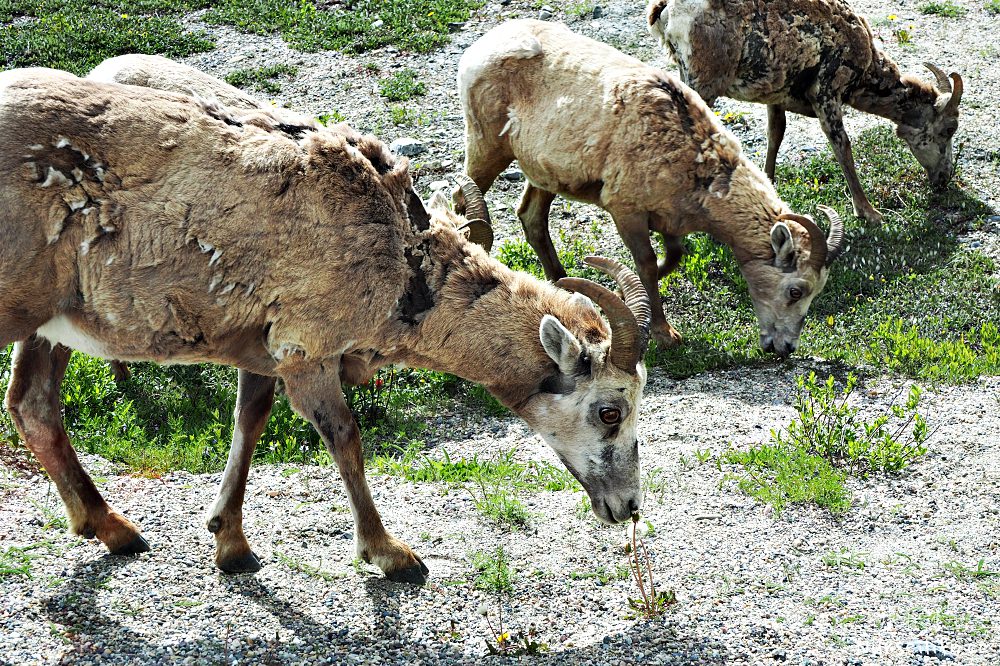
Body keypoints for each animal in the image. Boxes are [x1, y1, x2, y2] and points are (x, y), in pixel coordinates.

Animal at [0, 70, 652, 584]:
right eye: (610, 410)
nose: (626, 507)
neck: (399, 257)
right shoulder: (309, 350)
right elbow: (345, 438)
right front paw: (392, 555)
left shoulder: (266, 351)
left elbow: (250, 420)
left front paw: (231, 545)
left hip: (50, 324)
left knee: (33, 404)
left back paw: (115, 531)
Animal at [458, 19, 844, 352]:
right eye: (796, 291)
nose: (784, 348)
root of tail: (479, 48)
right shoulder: (625, 209)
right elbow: (644, 263)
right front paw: (665, 333)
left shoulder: (668, 219)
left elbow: (673, 256)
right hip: (487, 146)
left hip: (543, 173)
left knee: (532, 217)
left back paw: (564, 288)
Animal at [644, 0, 964, 223]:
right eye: (949, 129)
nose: (945, 178)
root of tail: (666, 12)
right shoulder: (826, 94)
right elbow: (842, 147)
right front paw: (869, 213)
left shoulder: (775, 96)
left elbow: (776, 134)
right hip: (702, 85)